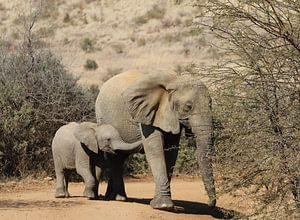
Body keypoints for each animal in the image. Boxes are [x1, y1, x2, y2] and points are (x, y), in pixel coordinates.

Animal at [96, 70, 216, 210]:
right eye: (188, 107)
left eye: (211, 105)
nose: (209, 204)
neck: (174, 80)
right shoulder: (147, 112)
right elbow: (155, 149)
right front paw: (164, 206)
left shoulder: (170, 116)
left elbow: (171, 152)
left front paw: (159, 203)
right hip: (103, 118)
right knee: (115, 157)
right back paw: (119, 199)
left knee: (120, 157)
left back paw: (111, 196)